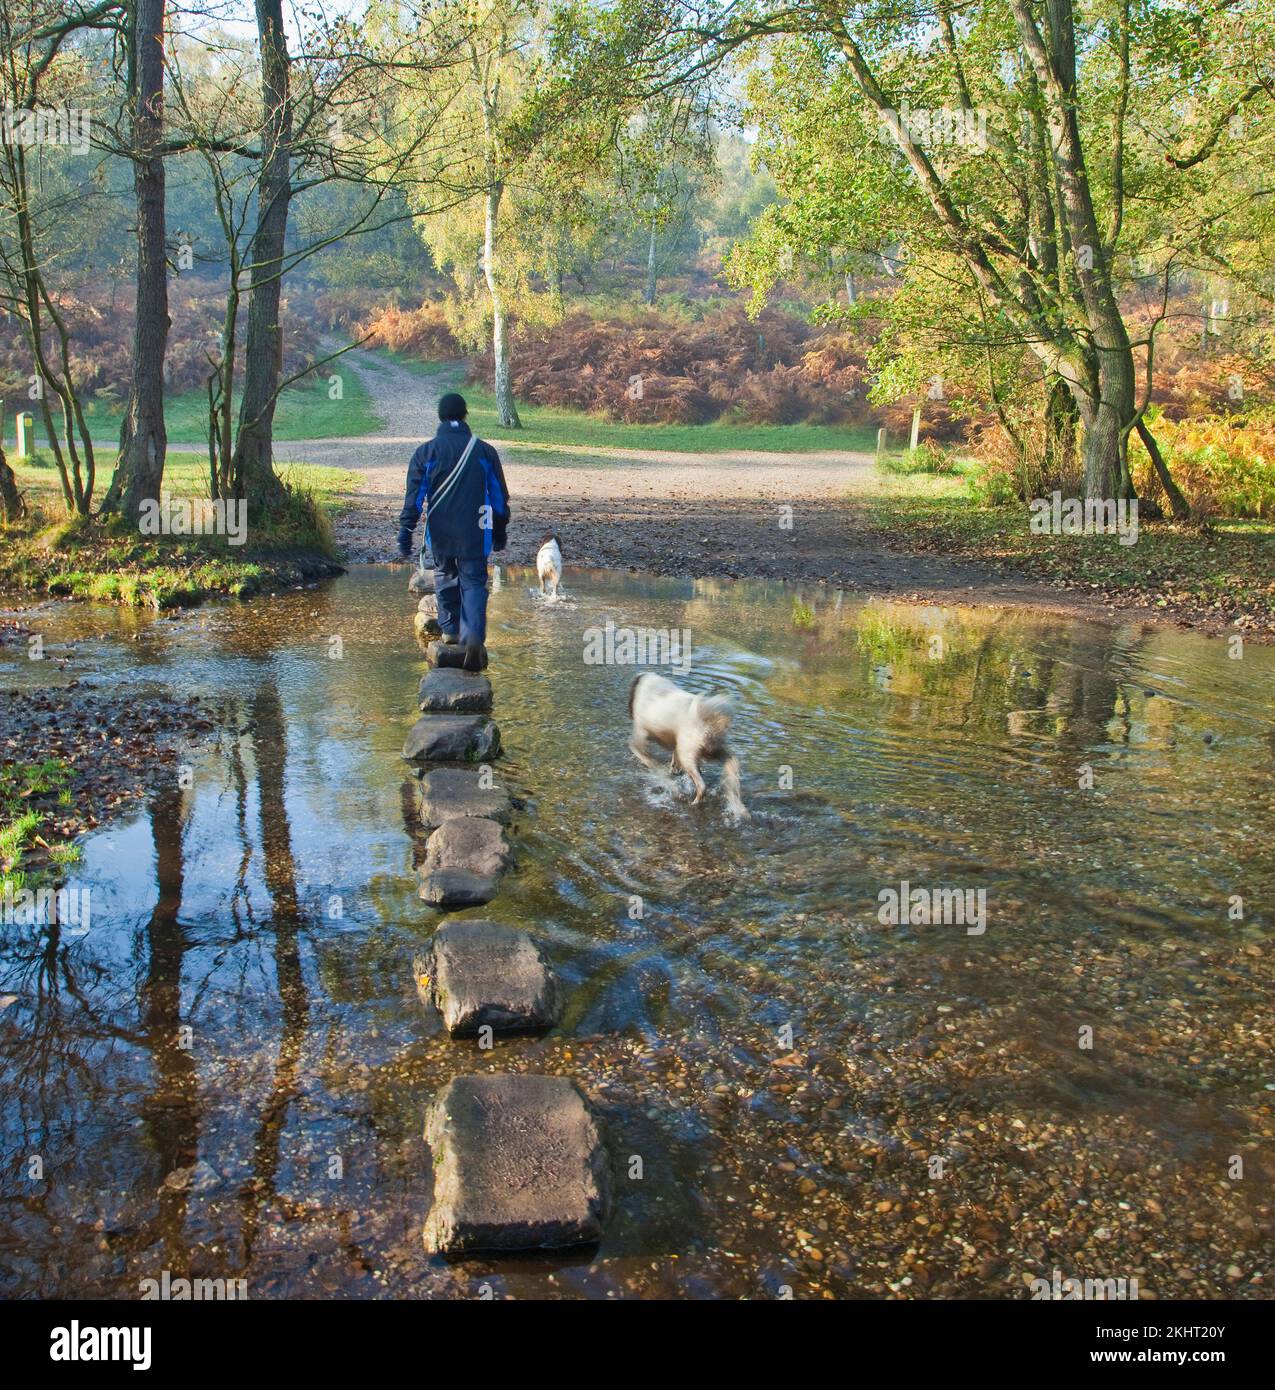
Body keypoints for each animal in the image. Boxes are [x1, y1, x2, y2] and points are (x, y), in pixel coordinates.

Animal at [625, 669, 745, 817]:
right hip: (712, 751)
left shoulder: (640, 739)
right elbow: (671, 763)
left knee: (702, 785)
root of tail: (709, 722)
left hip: (688, 754)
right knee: (732, 765)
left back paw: (695, 802)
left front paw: (672, 786)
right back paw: (738, 806)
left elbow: (653, 765)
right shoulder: (675, 745)